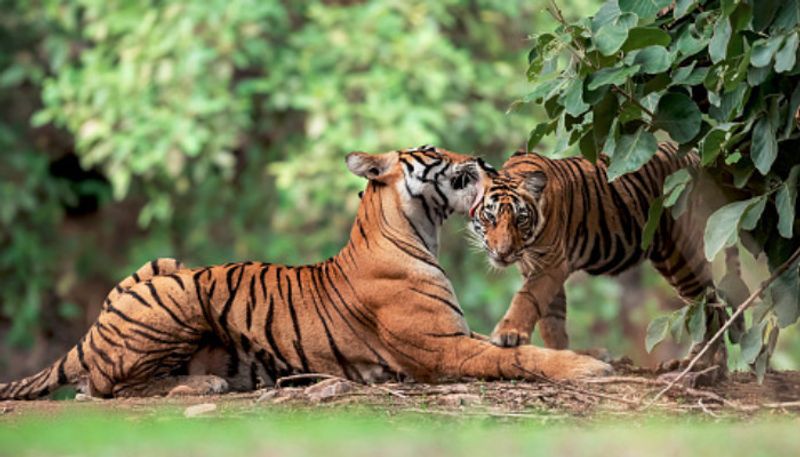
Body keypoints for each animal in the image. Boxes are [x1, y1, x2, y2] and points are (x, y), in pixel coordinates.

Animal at [0, 146, 608, 400]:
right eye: (437, 151)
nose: (483, 162)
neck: (420, 230)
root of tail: (92, 330)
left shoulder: (455, 335)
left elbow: (511, 347)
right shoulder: (442, 348)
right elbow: (521, 358)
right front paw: (586, 367)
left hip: (166, 264)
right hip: (180, 290)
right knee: (103, 387)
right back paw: (204, 384)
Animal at [468, 144, 744, 376]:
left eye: (520, 219)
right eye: (490, 217)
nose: (502, 252)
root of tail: (695, 157)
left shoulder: (550, 264)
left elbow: (528, 299)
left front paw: (508, 333)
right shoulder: (533, 266)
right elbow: (551, 319)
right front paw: (560, 354)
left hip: (682, 252)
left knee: (710, 303)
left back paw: (702, 363)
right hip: (669, 258)